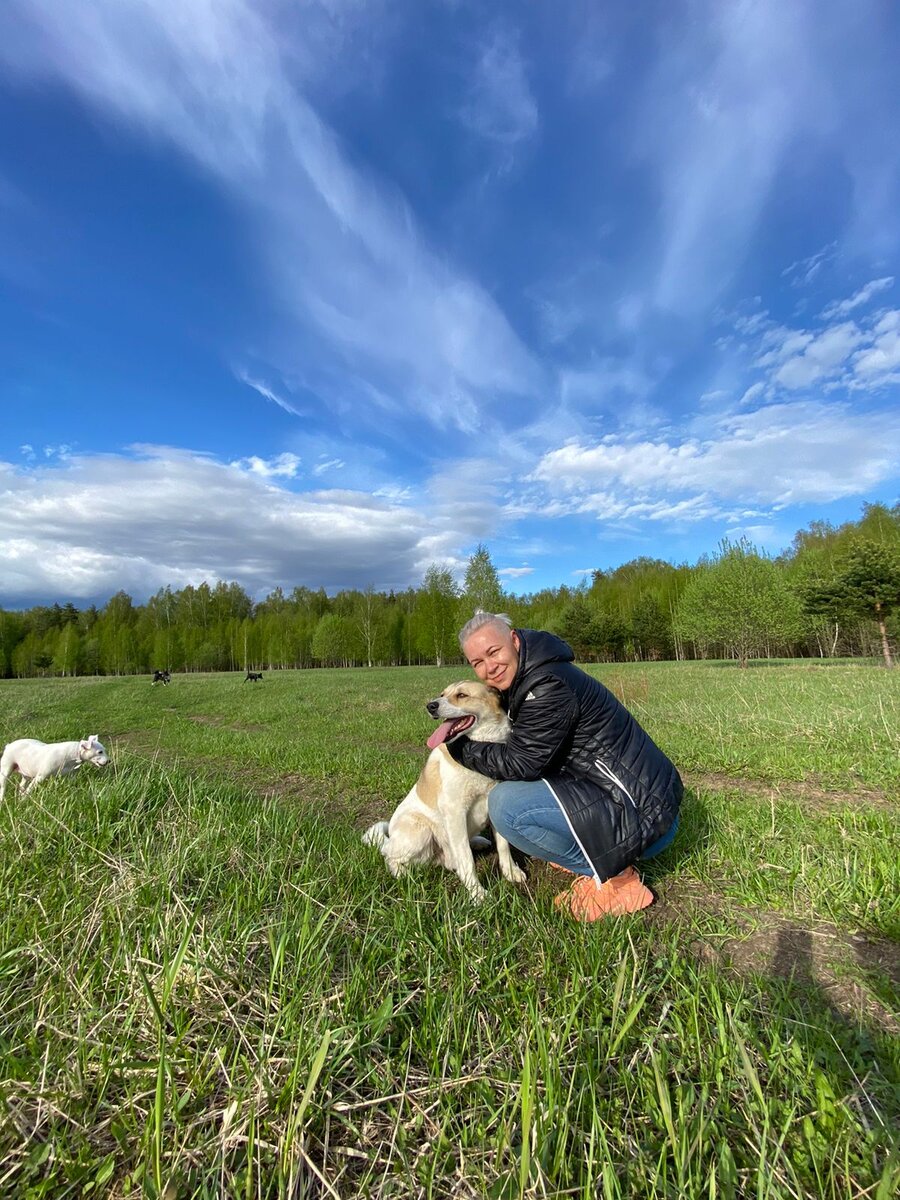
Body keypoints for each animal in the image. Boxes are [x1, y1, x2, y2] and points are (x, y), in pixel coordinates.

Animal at [362, 681, 525, 902]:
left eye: (462, 695)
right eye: (442, 694)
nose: (430, 706)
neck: (484, 747)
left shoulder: (493, 805)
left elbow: (504, 847)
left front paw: (511, 873)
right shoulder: (455, 812)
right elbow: (467, 859)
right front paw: (478, 895)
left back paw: (478, 841)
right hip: (419, 830)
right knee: (389, 854)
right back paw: (403, 875)